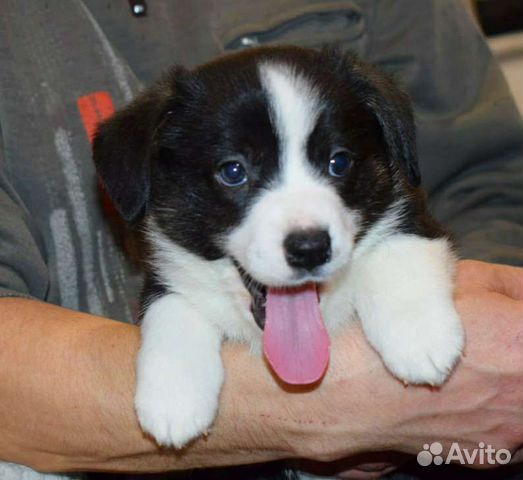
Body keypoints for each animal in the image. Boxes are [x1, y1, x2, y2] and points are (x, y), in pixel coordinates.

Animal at [92, 45, 464, 450]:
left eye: (339, 162)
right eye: (233, 171)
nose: (310, 248)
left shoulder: (413, 214)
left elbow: (399, 250)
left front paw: (419, 334)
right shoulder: (164, 269)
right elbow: (170, 304)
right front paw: (173, 396)